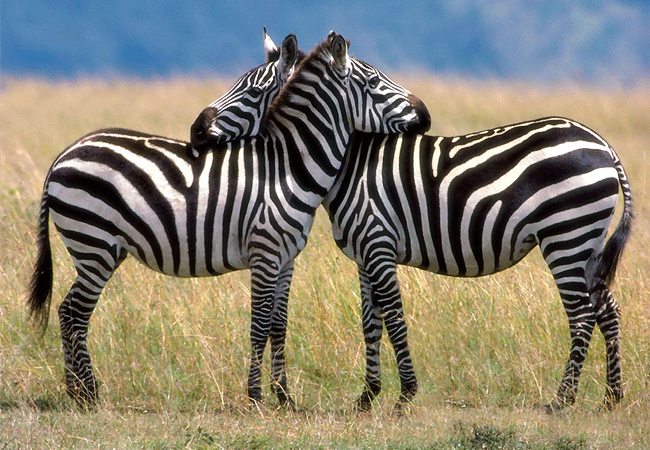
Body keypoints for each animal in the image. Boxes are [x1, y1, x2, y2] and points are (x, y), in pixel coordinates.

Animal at [27, 32, 431, 409]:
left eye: (252, 91)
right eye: (375, 83)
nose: (425, 114)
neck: (287, 167)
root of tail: (65, 154)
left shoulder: (286, 258)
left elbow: (278, 324)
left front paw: (284, 397)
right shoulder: (264, 252)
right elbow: (259, 323)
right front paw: (255, 396)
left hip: (99, 248)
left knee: (68, 311)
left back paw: (78, 392)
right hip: (94, 244)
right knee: (74, 313)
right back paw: (87, 394)